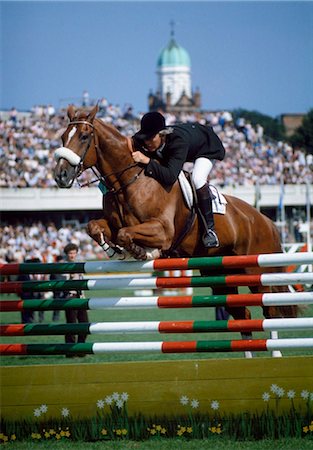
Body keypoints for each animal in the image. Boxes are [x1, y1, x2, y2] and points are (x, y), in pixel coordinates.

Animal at [54, 104, 296, 356]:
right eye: (63, 137)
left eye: (84, 137)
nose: (60, 176)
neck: (128, 180)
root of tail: (266, 221)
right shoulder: (113, 223)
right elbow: (95, 227)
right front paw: (114, 250)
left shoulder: (163, 231)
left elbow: (127, 234)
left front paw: (142, 252)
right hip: (218, 274)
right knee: (244, 314)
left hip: (256, 271)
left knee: (270, 310)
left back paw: (275, 353)